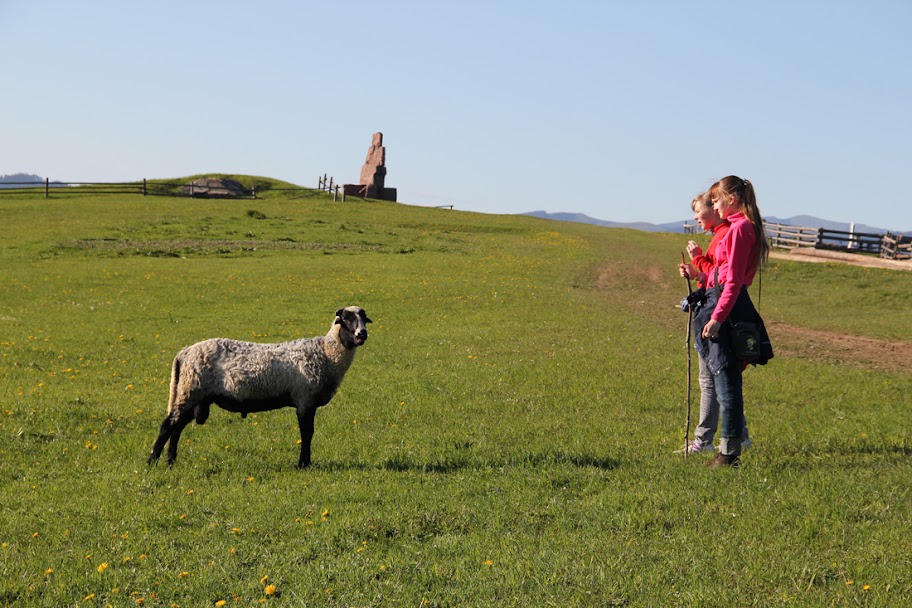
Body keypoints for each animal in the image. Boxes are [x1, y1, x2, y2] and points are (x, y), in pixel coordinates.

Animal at [146, 306, 370, 468]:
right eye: (346, 318)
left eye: (363, 317)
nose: (362, 334)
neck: (326, 352)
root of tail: (184, 352)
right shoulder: (305, 399)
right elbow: (307, 433)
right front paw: (303, 464)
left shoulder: (307, 401)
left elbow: (308, 433)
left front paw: (305, 463)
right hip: (191, 389)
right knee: (168, 426)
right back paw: (152, 462)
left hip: (194, 394)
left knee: (177, 427)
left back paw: (170, 461)